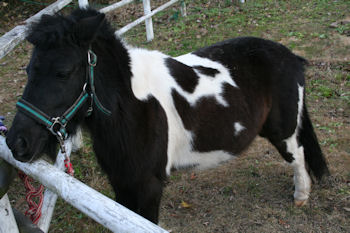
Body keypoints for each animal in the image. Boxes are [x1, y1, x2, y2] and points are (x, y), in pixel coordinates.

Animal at [5, 9, 328, 224]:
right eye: (29, 69)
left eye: (63, 72)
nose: (16, 142)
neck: (132, 108)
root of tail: (289, 55)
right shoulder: (122, 185)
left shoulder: (148, 186)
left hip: (283, 132)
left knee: (298, 154)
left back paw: (301, 195)